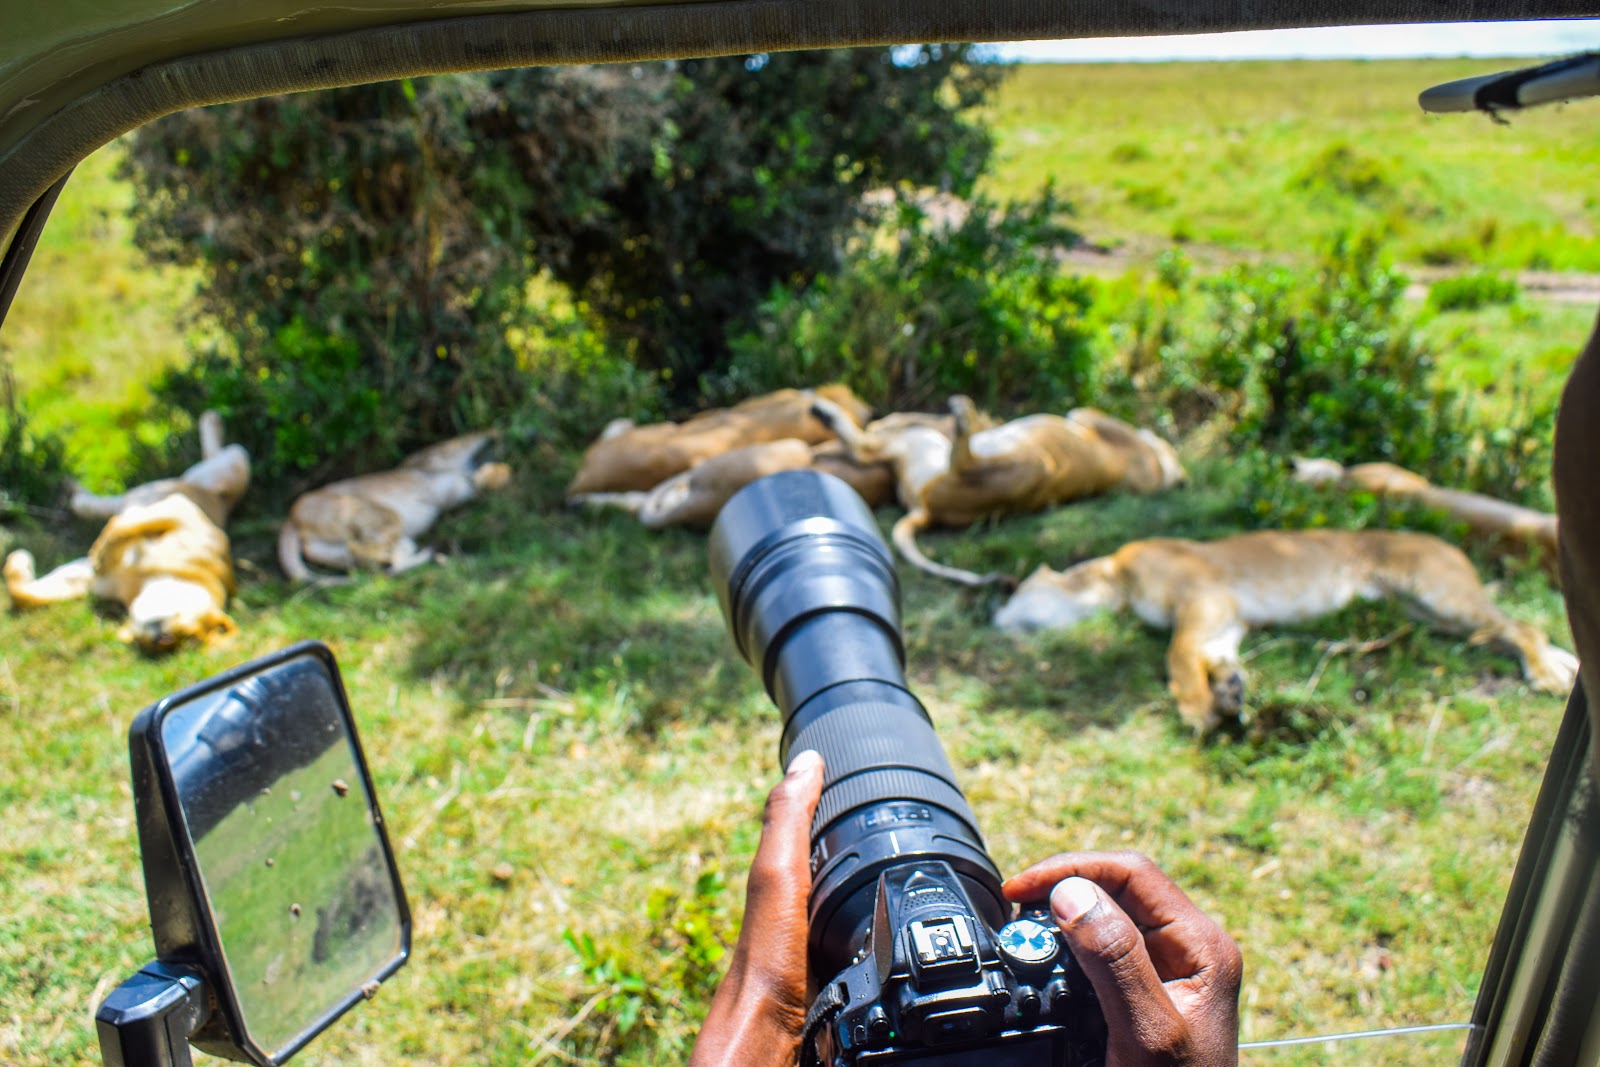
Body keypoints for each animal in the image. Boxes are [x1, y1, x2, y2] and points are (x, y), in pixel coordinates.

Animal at [277, 431, 511, 582]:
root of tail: (290, 516)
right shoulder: (440, 453)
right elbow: (482, 433)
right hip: (381, 513)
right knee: (367, 551)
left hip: (381, 539)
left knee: (374, 557)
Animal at [993, 529, 1579, 735]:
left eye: (1016, 593)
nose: (993, 618)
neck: (1114, 578)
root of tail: (1451, 546)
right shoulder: (1225, 618)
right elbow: (1208, 654)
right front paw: (1228, 688)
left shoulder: (1205, 597)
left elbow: (1177, 653)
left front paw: (1197, 709)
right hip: (1430, 614)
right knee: (1509, 630)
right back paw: (1566, 665)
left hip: (1439, 592)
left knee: (1523, 624)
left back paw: (1551, 674)